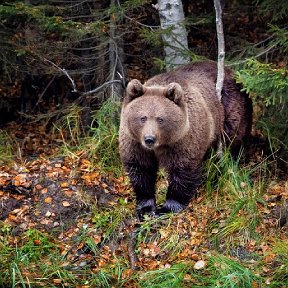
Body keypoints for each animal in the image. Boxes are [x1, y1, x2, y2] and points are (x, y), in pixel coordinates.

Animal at [119, 60, 252, 218]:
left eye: (160, 119)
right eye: (143, 118)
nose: (149, 139)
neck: (162, 143)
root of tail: (232, 71)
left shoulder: (184, 140)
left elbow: (183, 169)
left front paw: (168, 207)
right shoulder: (135, 143)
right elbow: (141, 170)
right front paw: (145, 208)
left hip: (231, 111)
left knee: (230, 147)